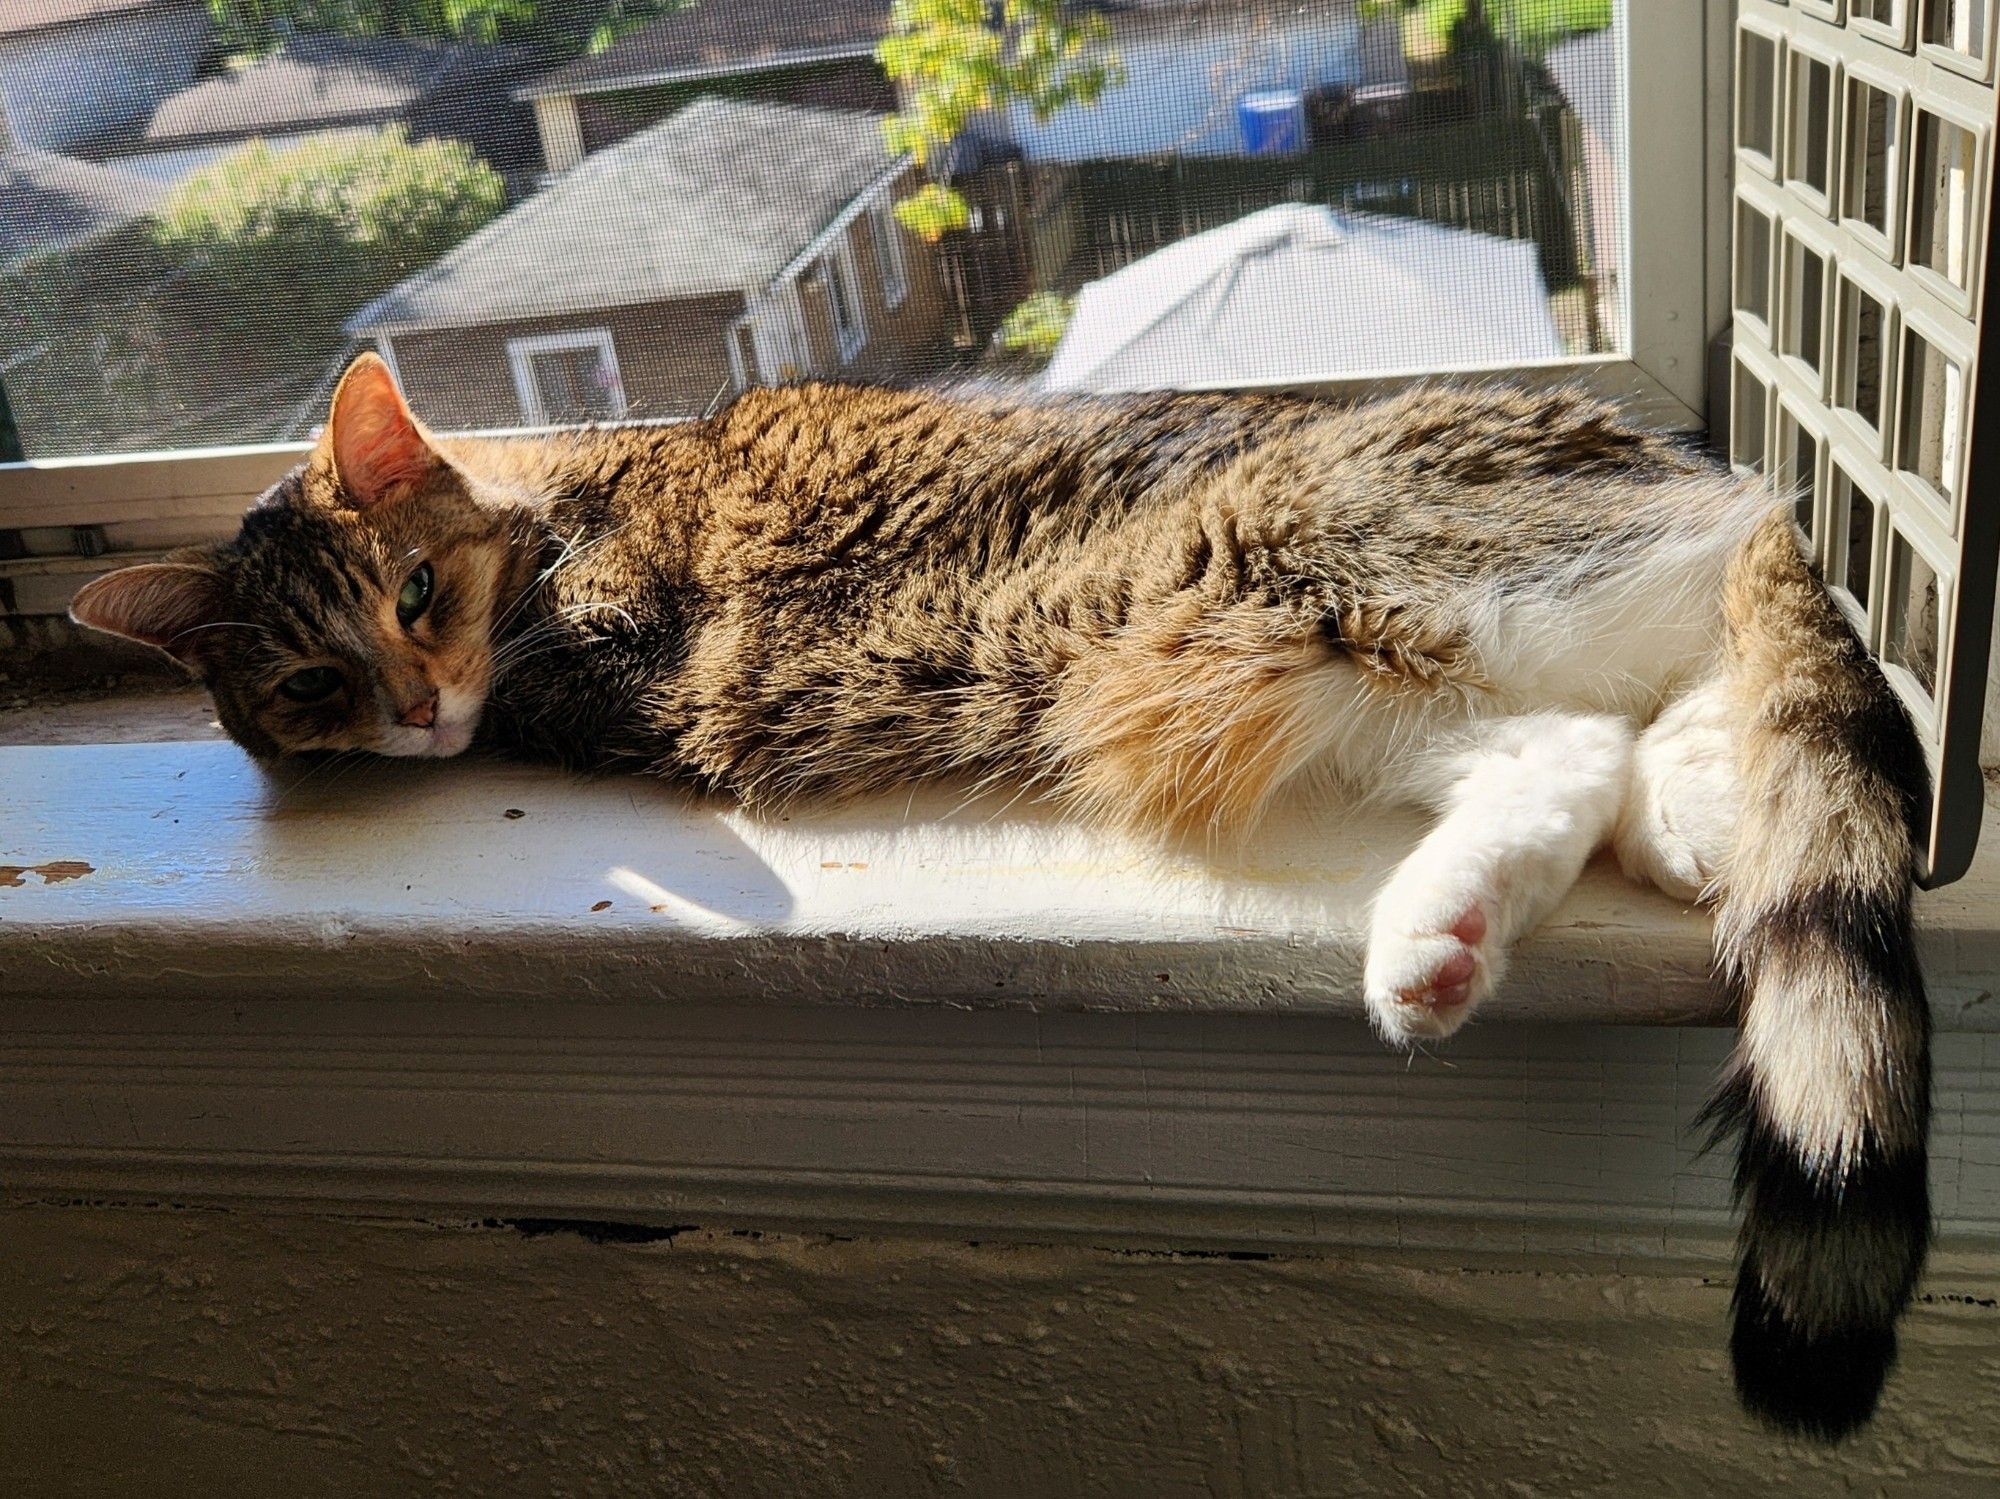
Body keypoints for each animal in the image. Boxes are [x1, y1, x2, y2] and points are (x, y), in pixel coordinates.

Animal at [70, 351, 1928, 1447]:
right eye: (307, 679)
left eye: (413, 590)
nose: (413, 710)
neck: (552, 500)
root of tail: (1682, 458)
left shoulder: (593, 654)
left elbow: (564, 670)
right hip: (1294, 659)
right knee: (1605, 743)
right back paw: (1519, 911)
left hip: (1283, 578)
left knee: (1632, 712)